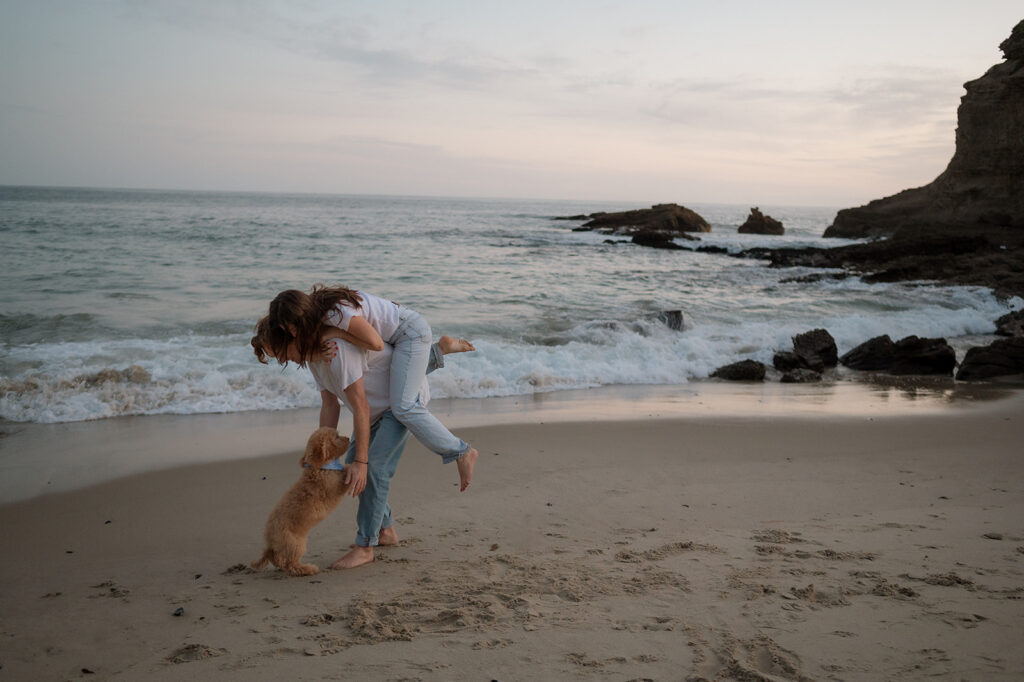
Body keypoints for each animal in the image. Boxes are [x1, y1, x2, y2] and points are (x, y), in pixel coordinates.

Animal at [251, 425, 352, 573]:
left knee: (277, 558)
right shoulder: (336, 485)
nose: (349, 438)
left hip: (285, 547)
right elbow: (346, 473)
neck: (321, 467)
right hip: (296, 545)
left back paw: (282, 564)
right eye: (336, 437)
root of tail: (270, 539)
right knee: (292, 565)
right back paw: (308, 568)